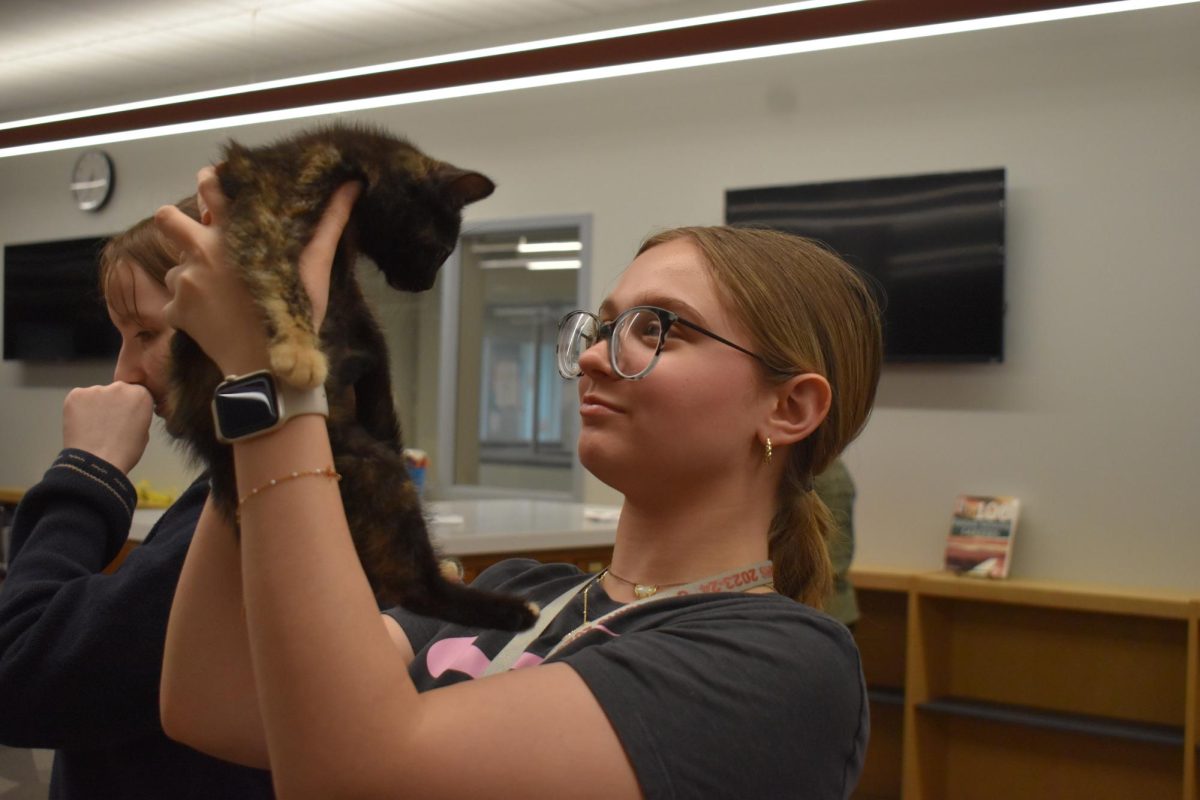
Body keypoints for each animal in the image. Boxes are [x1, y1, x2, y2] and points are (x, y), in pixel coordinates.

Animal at [162, 125, 537, 633]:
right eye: (439, 250)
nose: (423, 286)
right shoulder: (272, 206)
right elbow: (280, 275)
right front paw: (299, 351)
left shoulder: (363, 325)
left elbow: (374, 354)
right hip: (375, 467)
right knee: (409, 589)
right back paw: (508, 608)